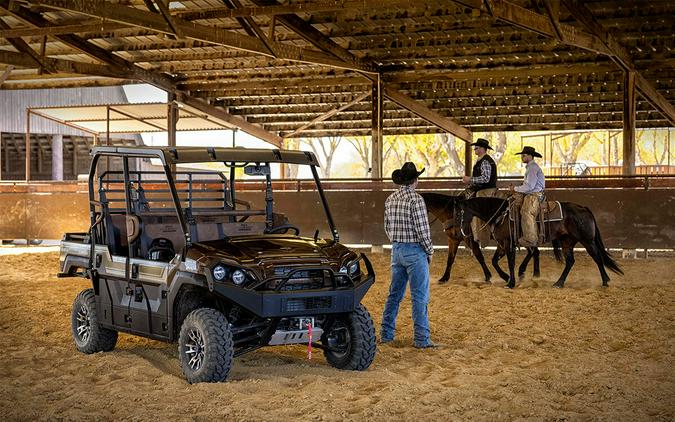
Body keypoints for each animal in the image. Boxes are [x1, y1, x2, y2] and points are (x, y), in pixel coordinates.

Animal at [460, 197, 624, 288]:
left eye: (460, 211)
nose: (461, 229)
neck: (501, 215)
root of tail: (584, 208)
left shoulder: (508, 243)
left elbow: (511, 262)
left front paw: (511, 282)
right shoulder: (502, 244)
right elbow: (494, 261)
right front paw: (507, 278)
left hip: (587, 241)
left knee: (597, 257)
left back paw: (605, 281)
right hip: (567, 241)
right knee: (570, 261)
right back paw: (559, 283)